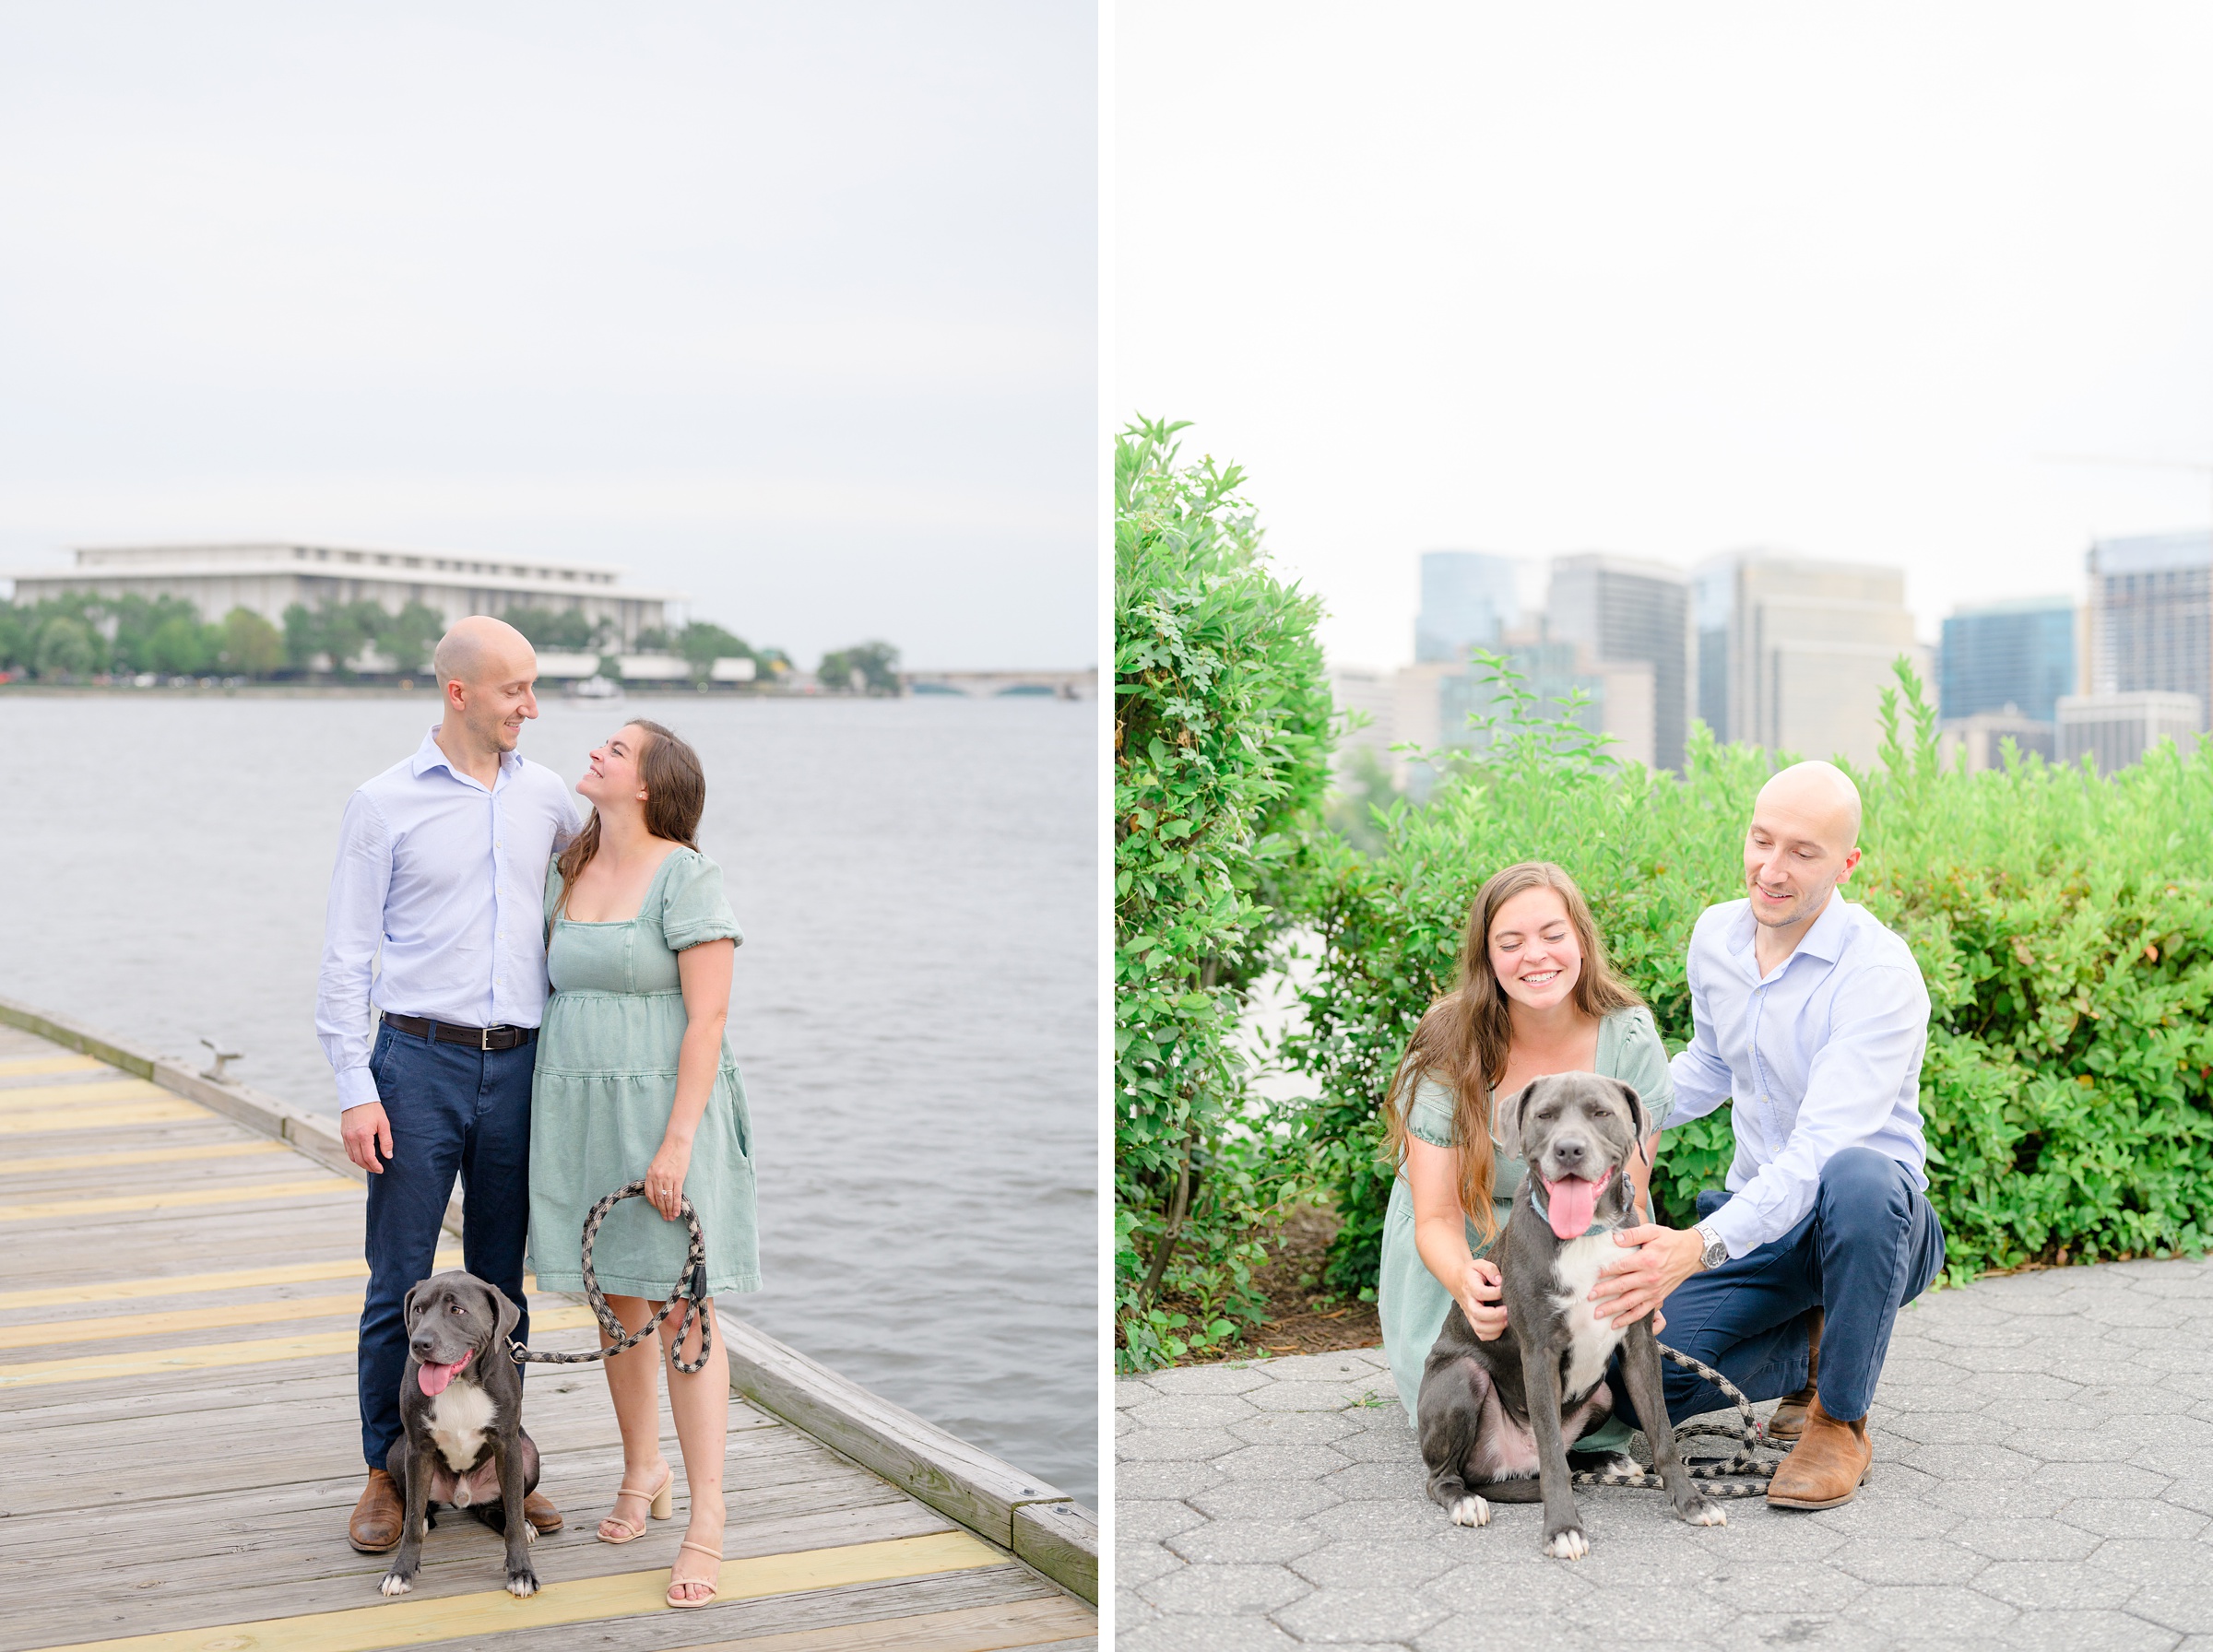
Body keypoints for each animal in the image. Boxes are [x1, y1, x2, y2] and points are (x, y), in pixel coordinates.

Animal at [376, 1273, 539, 1592]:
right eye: (418, 1309)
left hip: (530, 1454)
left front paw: (521, 1571)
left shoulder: (509, 1447)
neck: (460, 1384)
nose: (420, 1343)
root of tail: (462, 1496)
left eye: (457, 1310)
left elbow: (515, 1516)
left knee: (493, 1508)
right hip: (397, 1453)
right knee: (419, 1503)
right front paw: (401, 1571)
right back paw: (426, 1517)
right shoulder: (417, 1450)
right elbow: (411, 1522)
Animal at [1416, 1074, 1726, 1565]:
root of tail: (1507, 1468)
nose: (1569, 1150)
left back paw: (1606, 1463)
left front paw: (1692, 1501)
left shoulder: (1639, 1344)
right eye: (1544, 1115)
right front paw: (1563, 1528)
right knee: (1449, 1474)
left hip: (1604, 1394)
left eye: (1601, 1113)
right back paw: (1464, 1499)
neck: (1587, 1234)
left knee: (1567, 1449)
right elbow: (1552, 1456)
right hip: (1462, 1377)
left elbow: (1663, 1434)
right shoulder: (1540, 1353)